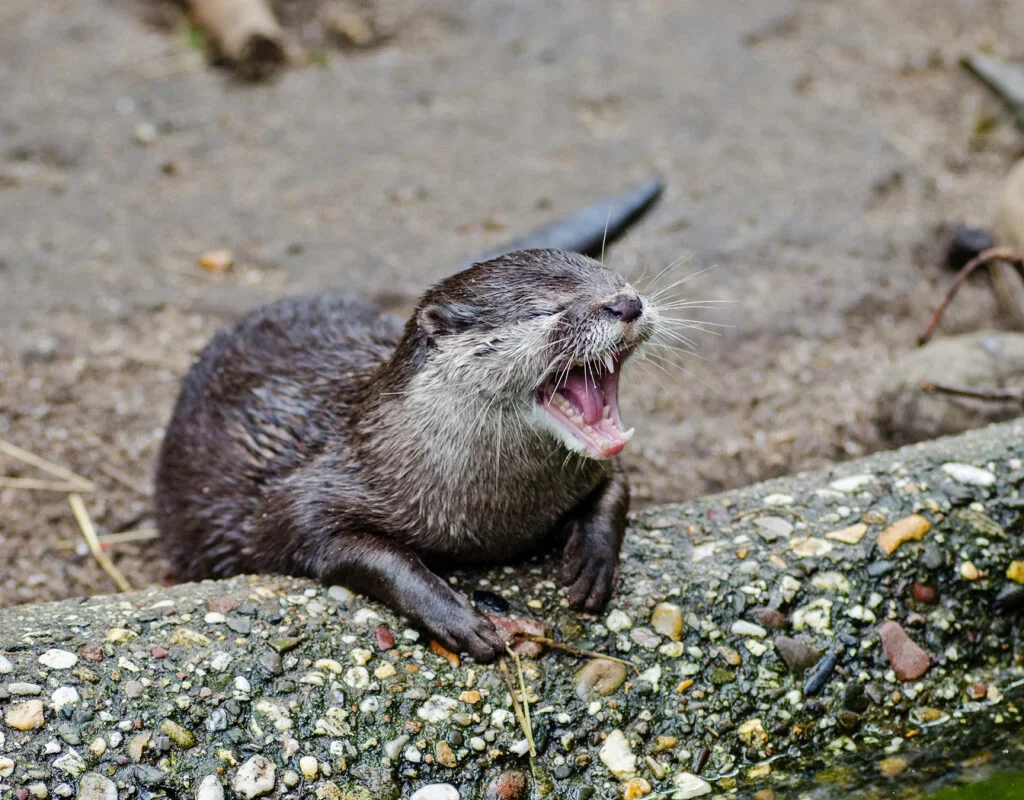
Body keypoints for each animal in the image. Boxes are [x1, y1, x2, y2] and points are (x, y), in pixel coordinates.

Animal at [155, 182, 664, 663]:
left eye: (618, 279)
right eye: (547, 309)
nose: (627, 303)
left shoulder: (595, 467)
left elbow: (617, 486)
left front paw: (593, 560)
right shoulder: (301, 503)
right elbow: (362, 554)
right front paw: (457, 618)